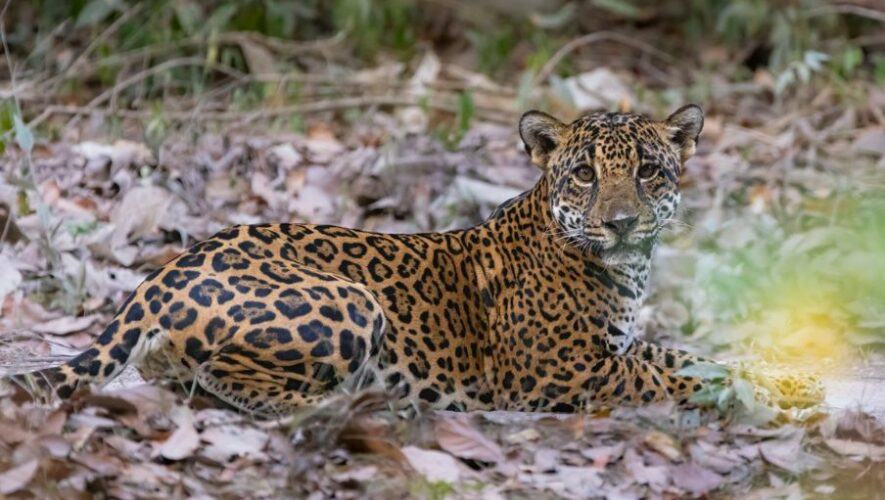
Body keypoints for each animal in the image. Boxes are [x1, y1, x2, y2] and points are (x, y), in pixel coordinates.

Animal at [11, 105, 823, 415]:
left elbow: (692, 356)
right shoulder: (559, 374)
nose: (619, 223)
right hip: (349, 301)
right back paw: (348, 403)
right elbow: (672, 374)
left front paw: (787, 376)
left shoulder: (613, 349)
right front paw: (763, 391)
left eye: (649, 172)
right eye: (586, 175)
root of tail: (160, 276)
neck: (625, 271)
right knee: (216, 376)